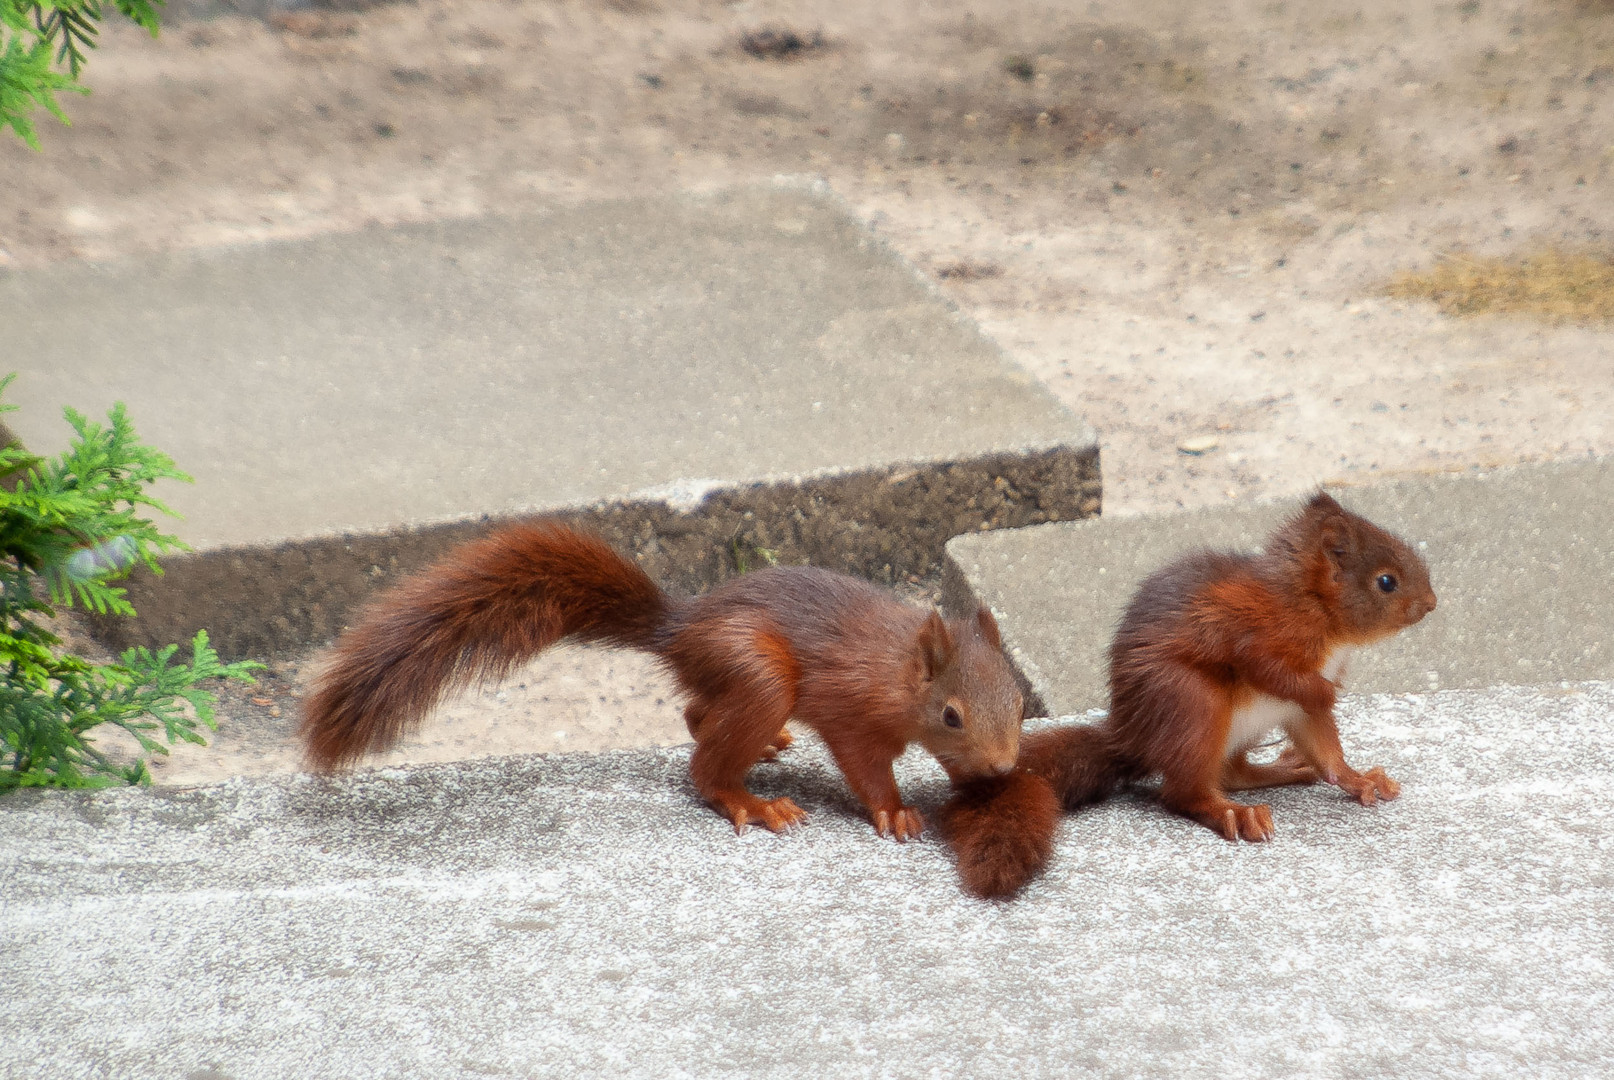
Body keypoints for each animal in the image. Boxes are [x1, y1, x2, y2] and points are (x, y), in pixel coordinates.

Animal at [300, 516, 1020, 839]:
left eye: (1018, 702)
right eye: (951, 714)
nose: (1005, 766)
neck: (900, 671)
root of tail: (679, 628)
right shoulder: (853, 713)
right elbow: (866, 768)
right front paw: (895, 810)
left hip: (734, 681)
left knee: (697, 715)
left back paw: (764, 746)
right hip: (761, 674)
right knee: (703, 766)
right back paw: (748, 800)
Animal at [942, 493, 1446, 897]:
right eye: (1387, 582)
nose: (1432, 605)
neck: (1313, 605)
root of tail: (1134, 740)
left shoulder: (1300, 711)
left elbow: (1329, 753)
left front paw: (1359, 778)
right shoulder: (1254, 633)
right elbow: (1270, 670)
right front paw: (1327, 689)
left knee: (1233, 772)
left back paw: (1285, 768)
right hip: (1194, 705)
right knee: (1184, 793)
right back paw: (1232, 813)